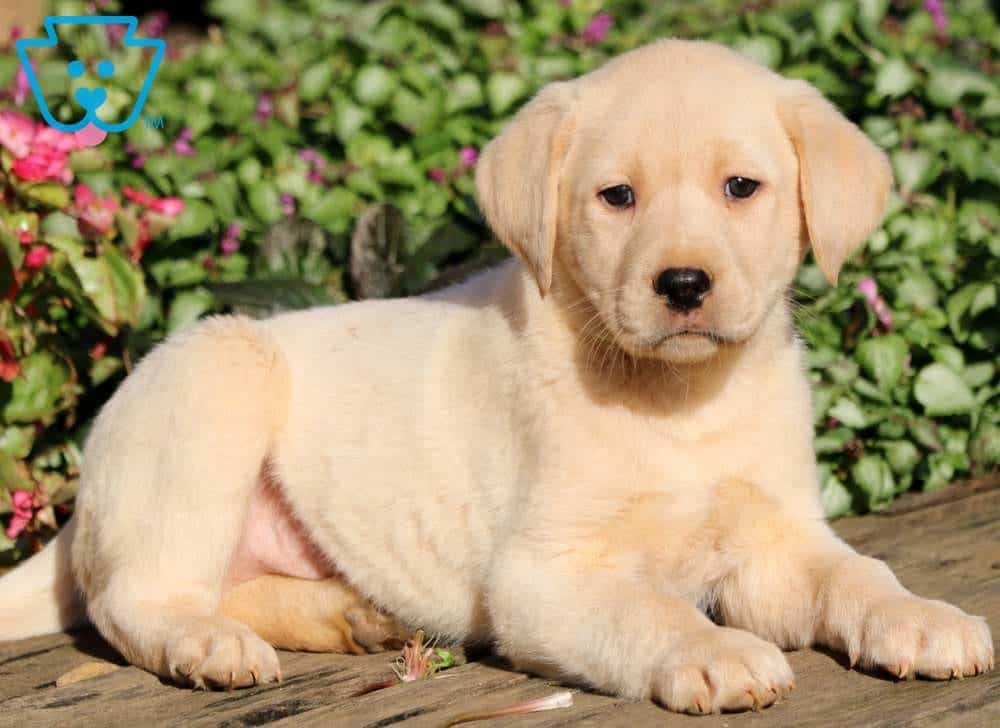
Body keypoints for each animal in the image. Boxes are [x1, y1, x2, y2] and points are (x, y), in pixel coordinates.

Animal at [1, 38, 992, 712]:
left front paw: (924, 617)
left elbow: (856, 575)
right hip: (216, 377)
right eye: (617, 197)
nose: (682, 286)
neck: (675, 402)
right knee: (134, 599)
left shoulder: (777, 541)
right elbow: (650, 612)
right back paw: (208, 643)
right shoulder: (542, 576)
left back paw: (351, 617)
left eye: (741, 188)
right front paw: (716, 652)